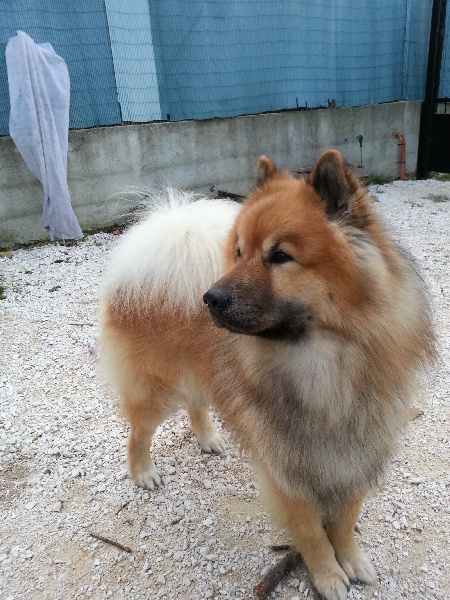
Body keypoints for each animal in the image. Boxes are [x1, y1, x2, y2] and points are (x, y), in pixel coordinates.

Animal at [99, 151, 435, 599]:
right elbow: (311, 531)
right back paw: (143, 472)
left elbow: (345, 518)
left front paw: (351, 557)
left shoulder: (358, 447)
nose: (209, 298)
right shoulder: (286, 465)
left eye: (280, 256)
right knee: (138, 430)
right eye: (240, 252)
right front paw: (328, 575)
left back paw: (208, 438)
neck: (325, 364)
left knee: (196, 404)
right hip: (156, 387)